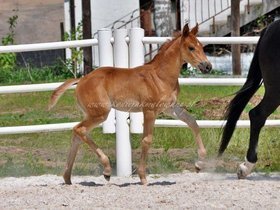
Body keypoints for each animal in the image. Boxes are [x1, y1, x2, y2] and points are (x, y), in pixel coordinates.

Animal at [49, 23, 211, 185]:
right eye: (191, 47)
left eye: (202, 46)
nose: (207, 66)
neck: (160, 76)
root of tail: (81, 80)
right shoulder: (149, 111)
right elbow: (147, 140)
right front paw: (143, 177)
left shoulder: (169, 108)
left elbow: (193, 122)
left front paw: (199, 164)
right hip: (100, 113)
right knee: (79, 129)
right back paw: (106, 170)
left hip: (91, 114)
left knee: (77, 134)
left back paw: (68, 177)